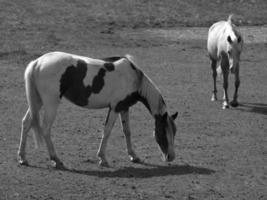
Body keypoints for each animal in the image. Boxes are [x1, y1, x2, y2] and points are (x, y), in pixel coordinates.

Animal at [17, 51, 179, 167]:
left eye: (174, 131)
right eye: (162, 132)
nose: (171, 156)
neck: (134, 78)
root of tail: (37, 62)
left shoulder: (124, 108)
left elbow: (127, 131)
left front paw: (134, 156)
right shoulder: (114, 108)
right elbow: (107, 131)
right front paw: (102, 158)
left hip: (37, 102)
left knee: (26, 123)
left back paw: (22, 158)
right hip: (51, 104)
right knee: (45, 129)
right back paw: (55, 159)